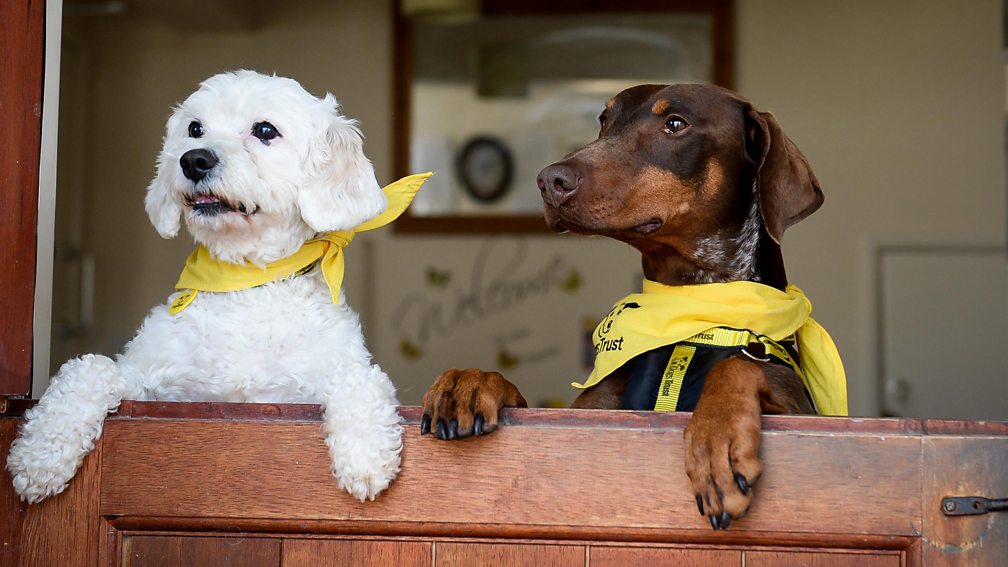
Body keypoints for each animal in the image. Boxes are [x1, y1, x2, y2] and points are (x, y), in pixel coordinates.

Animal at [6, 69, 409, 502]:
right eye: (194, 129)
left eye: (265, 130)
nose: (194, 159)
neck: (248, 285)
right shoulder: (156, 391)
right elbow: (90, 368)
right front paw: (40, 453)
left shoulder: (314, 384)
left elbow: (359, 379)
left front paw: (365, 457)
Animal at [417, 83, 826, 528]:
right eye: (604, 120)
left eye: (675, 124)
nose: (549, 180)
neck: (689, 315)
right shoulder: (588, 416)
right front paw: (470, 381)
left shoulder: (804, 415)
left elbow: (739, 365)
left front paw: (719, 438)